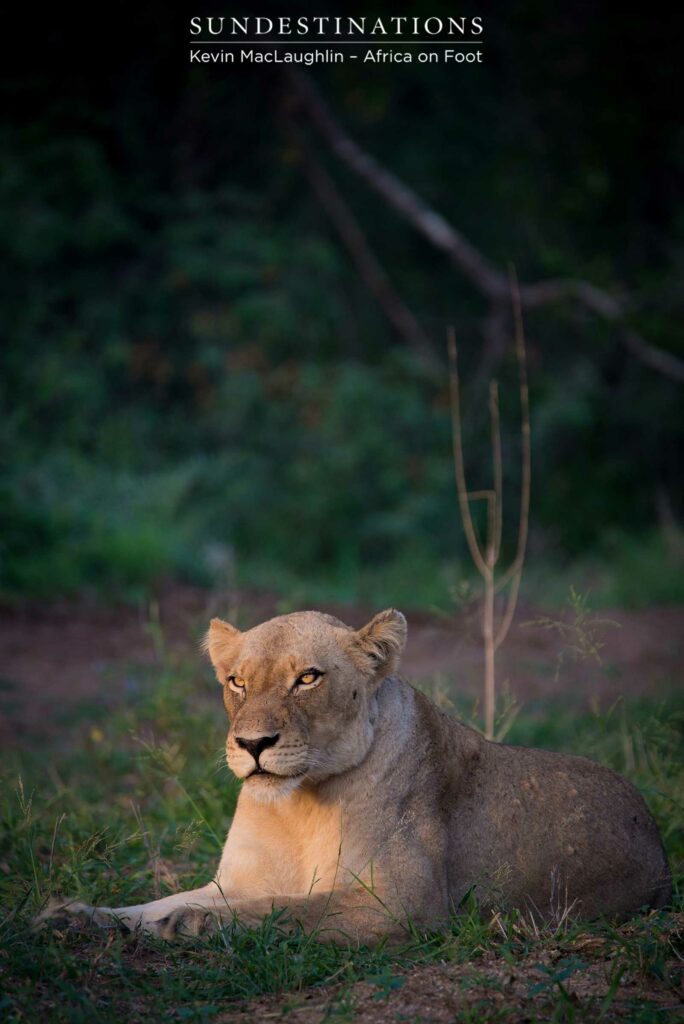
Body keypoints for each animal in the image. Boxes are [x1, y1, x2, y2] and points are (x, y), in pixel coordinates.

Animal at [39, 608, 671, 944]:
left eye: (307, 678)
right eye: (237, 681)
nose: (252, 744)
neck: (297, 805)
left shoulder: (403, 904)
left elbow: (286, 909)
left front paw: (192, 923)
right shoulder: (233, 880)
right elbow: (153, 901)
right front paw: (75, 917)